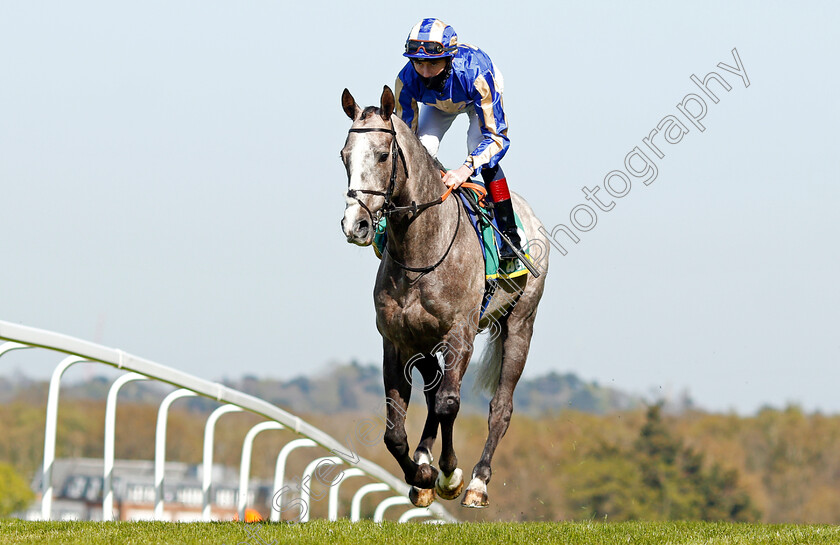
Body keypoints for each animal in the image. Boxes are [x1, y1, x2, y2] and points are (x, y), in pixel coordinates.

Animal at [342, 84, 552, 506]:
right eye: (343, 156)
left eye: (383, 154)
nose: (354, 224)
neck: (420, 253)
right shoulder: (397, 339)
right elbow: (395, 430)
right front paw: (421, 474)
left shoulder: (461, 334)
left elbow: (449, 403)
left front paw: (450, 474)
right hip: (425, 341)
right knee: (433, 388)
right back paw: (426, 459)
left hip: (520, 325)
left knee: (499, 406)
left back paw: (477, 482)